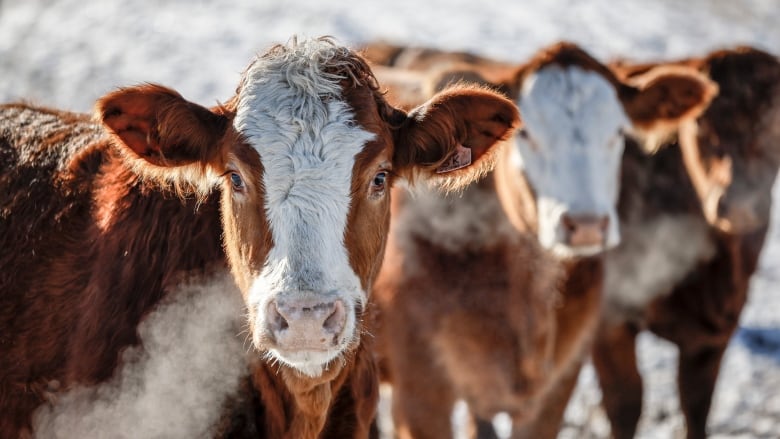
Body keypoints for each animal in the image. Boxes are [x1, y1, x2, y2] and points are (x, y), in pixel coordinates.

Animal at [596, 47, 780, 439]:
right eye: (699, 125)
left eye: (776, 124)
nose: (738, 202)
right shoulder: (610, 319)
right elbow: (626, 403)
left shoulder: (714, 334)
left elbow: (696, 406)